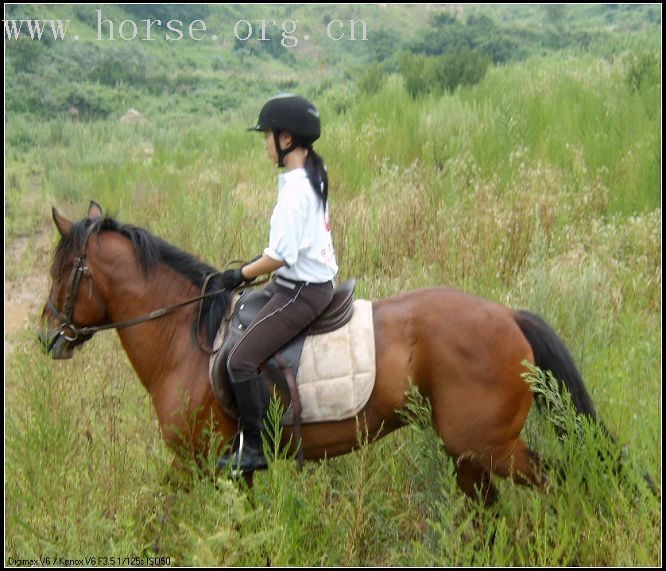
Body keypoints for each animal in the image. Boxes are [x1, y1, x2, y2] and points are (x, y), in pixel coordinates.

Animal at [41, 203, 600, 508]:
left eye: (63, 271)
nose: (48, 337)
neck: (187, 338)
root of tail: (507, 315)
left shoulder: (193, 464)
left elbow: (159, 520)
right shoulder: (233, 471)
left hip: (488, 447)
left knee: (561, 481)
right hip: (466, 452)